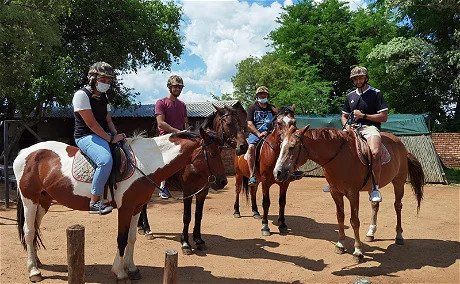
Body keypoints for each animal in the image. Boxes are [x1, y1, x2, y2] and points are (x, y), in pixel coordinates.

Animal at [15, 129, 227, 282]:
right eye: (213, 153)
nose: (223, 181)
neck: (144, 163)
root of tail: (25, 152)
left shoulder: (136, 207)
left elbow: (132, 238)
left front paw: (132, 268)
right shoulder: (125, 209)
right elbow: (121, 239)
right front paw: (120, 271)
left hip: (44, 201)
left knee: (34, 227)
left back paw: (36, 261)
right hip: (29, 199)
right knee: (29, 230)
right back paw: (34, 271)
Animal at [136, 104, 246, 255]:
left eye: (241, 123)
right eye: (229, 123)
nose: (243, 146)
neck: (195, 162)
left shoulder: (202, 191)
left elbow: (198, 215)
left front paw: (198, 240)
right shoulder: (188, 191)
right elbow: (187, 216)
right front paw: (185, 243)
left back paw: (141, 227)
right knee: (144, 205)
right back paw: (147, 229)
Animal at [234, 105, 298, 236]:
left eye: (294, 122)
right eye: (279, 123)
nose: (289, 141)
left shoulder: (285, 182)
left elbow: (282, 202)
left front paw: (282, 224)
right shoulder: (265, 181)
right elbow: (266, 202)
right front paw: (265, 226)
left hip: (256, 179)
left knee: (253, 191)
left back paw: (256, 212)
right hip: (239, 174)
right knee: (237, 190)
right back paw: (237, 211)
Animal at [274, 126, 424, 264]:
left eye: (292, 147)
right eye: (280, 146)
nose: (278, 173)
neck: (339, 158)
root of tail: (401, 145)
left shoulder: (353, 193)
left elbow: (354, 221)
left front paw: (358, 251)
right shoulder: (335, 192)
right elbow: (340, 217)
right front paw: (340, 244)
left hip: (398, 182)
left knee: (398, 206)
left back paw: (399, 235)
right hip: (373, 187)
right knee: (375, 205)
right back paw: (371, 233)